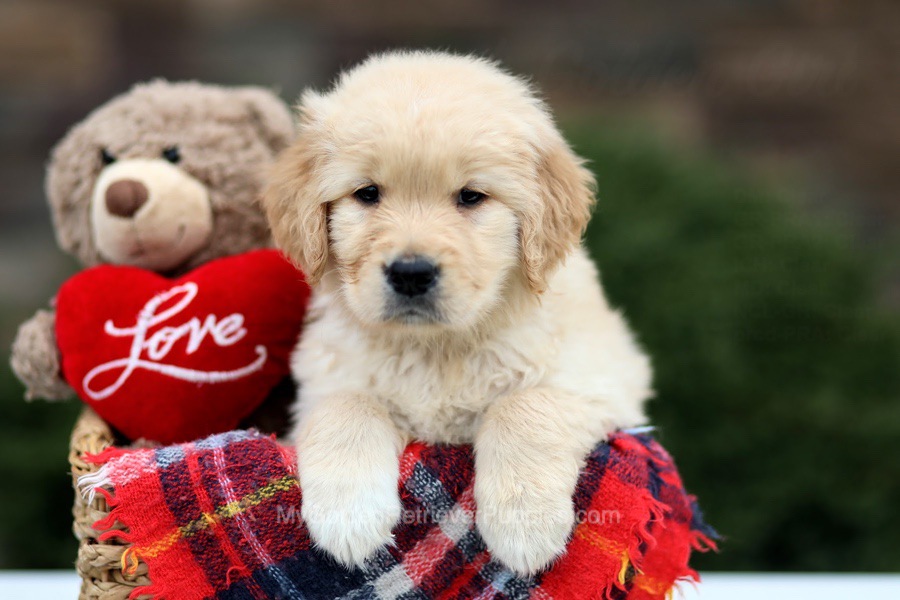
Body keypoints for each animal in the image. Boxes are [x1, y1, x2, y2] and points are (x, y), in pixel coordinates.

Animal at [264, 50, 652, 572]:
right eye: (367, 194)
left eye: (471, 196)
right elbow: (346, 406)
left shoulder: (603, 376)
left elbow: (525, 404)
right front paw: (349, 516)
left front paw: (525, 523)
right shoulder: (321, 382)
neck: (436, 348)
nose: (410, 273)